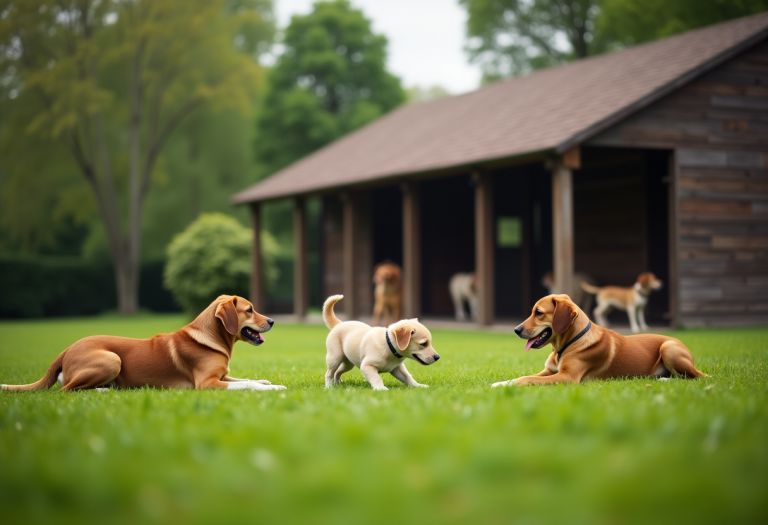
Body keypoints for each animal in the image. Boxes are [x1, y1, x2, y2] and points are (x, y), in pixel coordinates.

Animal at [1, 292, 286, 390]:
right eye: (249, 310)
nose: (273, 321)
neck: (210, 337)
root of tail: (67, 348)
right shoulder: (206, 384)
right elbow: (246, 385)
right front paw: (271, 388)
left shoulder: (222, 376)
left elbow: (246, 378)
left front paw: (267, 381)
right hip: (111, 359)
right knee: (66, 391)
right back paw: (106, 390)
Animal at [496, 292, 704, 386]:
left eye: (538, 313)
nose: (516, 330)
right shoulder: (549, 371)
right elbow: (523, 376)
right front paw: (502, 383)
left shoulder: (567, 377)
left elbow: (526, 378)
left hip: (668, 348)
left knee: (696, 377)